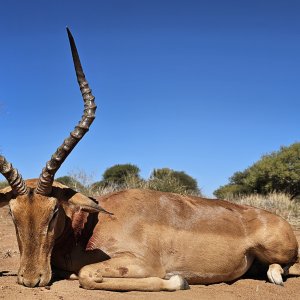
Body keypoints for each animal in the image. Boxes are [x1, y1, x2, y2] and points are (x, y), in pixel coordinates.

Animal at [0, 28, 300, 290]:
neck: (88, 229)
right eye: (13, 214)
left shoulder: (143, 264)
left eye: (53, 212)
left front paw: (179, 281)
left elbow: (86, 274)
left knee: (285, 267)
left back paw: (274, 276)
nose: (30, 279)